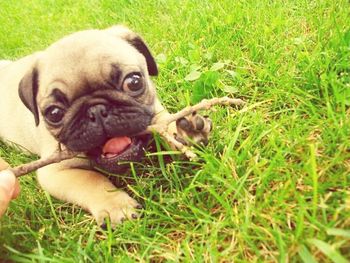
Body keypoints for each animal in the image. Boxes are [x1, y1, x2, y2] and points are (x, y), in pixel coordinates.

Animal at [0, 25, 211, 227]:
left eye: (134, 82)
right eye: (54, 113)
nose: (96, 110)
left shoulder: (156, 113)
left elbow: (166, 125)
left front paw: (187, 132)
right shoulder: (54, 172)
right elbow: (92, 180)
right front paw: (117, 206)